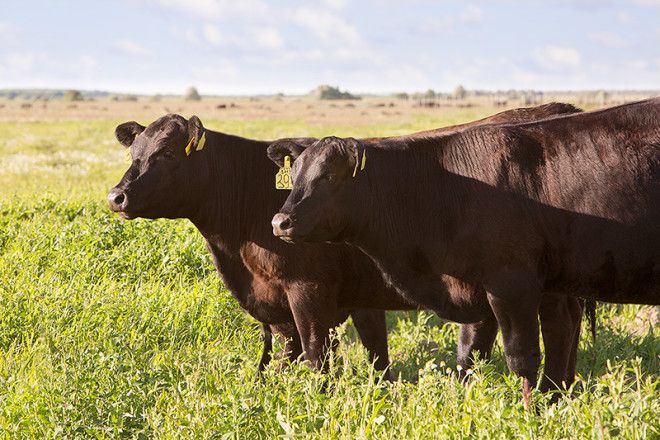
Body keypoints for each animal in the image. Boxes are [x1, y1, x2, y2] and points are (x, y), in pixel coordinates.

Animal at [270, 97, 656, 402]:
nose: (280, 222)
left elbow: (521, 358)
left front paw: (528, 417)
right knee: (564, 327)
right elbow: (470, 354)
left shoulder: (511, 285)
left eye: (330, 176)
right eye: (295, 176)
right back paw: (559, 395)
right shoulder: (482, 290)